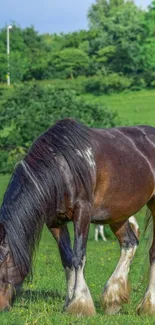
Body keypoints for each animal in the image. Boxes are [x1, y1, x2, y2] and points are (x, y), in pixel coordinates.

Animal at [0, 118, 155, 314]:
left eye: (1, 261)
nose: (1, 307)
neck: (62, 168)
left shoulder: (83, 212)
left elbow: (78, 255)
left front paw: (80, 303)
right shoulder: (55, 221)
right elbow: (66, 257)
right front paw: (68, 302)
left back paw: (148, 305)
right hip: (118, 214)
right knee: (130, 243)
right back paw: (112, 299)